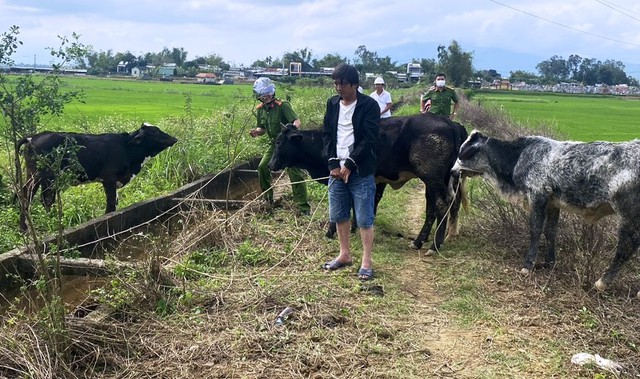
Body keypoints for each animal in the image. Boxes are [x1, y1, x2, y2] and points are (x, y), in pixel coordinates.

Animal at [19, 124, 178, 230]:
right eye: (154, 132)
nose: (174, 138)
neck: (126, 149)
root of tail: (33, 137)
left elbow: (115, 203)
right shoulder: (109, 179)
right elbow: (111, 203)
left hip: (33, 176)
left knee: (26, 194)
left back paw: (24, 228)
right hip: (48, 178)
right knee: (46, 199)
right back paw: (52, 224)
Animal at [268, 113, 468, 255]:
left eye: (278, 142)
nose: (270, 165)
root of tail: (450, 123)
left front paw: (331, 232)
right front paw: (355, 227)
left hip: (432, 178)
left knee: (442, 205)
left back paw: (434, 245)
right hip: (436, 181)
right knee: (433, 208)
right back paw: (420, 241)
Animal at [450, 131, 640, 300]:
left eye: (463, 152)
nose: (452, 171)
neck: (519, 156)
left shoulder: (537, 196)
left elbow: (535, 230)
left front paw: (528, 265)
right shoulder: (552, 204)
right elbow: (550, 231)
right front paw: (549, 262)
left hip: (628, 214)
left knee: (627, 246)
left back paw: (602, 282)